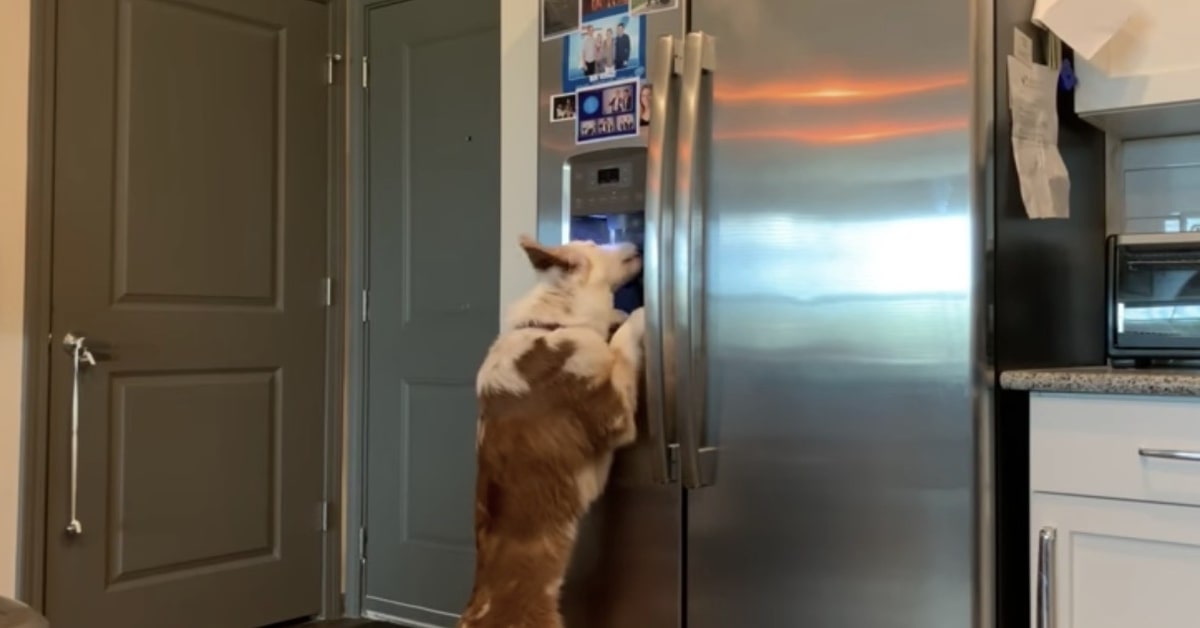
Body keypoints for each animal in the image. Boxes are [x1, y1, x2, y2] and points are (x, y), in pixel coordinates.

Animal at [458, 234, 648, 628]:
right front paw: (638, 313)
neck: (552, 323)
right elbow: (621, 343)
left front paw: (619, 315)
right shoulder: (616, 414)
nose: (636, 241)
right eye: (596, 243)